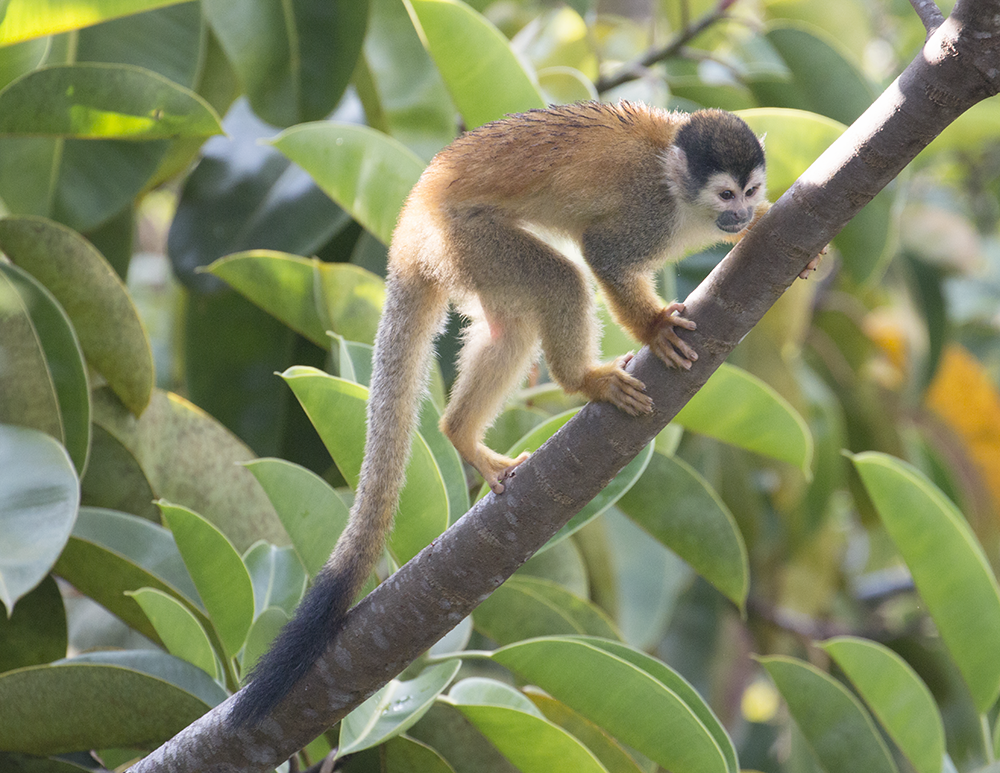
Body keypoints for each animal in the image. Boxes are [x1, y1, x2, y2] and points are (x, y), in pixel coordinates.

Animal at [232, 101, 817, 725]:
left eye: (750, 191)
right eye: (726, 192)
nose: (740, 214)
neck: (681, 191)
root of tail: (411, 220)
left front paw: (775, 230)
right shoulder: (649, 213)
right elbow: (603, 253)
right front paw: (654, 328)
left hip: (463, 257)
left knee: (511, 325)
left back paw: (461, 434)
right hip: (465, 237)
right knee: (560, 279)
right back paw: (581, 381)